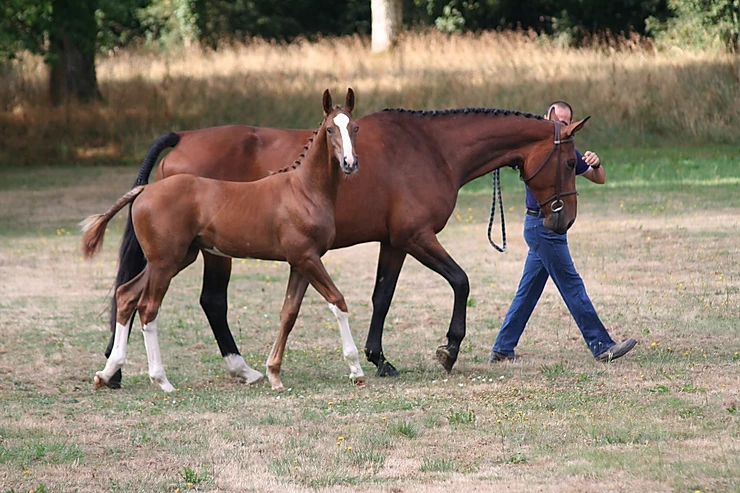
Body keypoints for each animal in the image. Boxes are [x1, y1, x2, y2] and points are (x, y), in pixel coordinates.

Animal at [80, 87, 362, 388]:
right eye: (330, 129)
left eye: (355, 127)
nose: (350, 163)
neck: (303, 190)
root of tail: (145, 190)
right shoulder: (307, 258)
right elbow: (338, 301)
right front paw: (356, 368)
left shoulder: (299, 263)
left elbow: (289, 313)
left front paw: (274, 373)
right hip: (165, 263)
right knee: (148, 308)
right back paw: (161, 380)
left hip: (174, 259)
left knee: (126, 295)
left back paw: (107, 372)